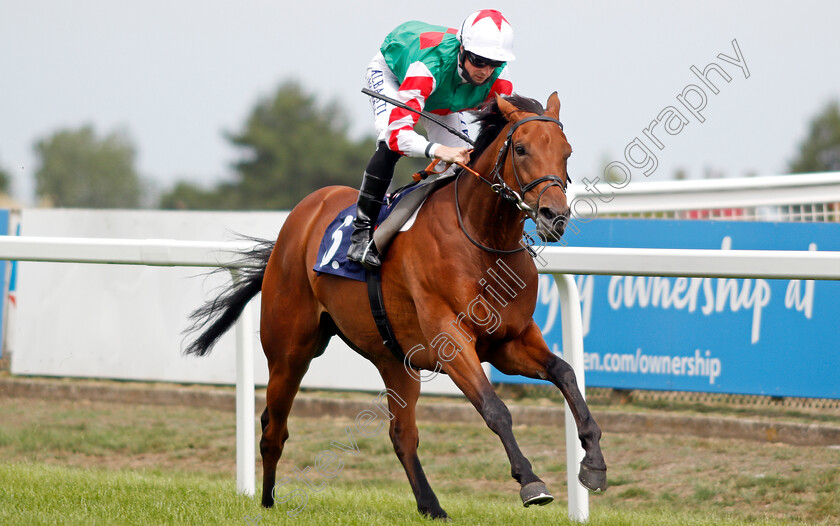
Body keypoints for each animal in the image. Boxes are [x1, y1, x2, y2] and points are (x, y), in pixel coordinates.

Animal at [185, 93, 604, 520]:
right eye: (520, 149)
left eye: (567, 152)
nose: (555, 216)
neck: (482, 240)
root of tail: (302, 215)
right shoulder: (450, 338)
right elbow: (495, 408)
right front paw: (531, 482)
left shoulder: (509, 341)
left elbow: (565, 372)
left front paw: (594, 464)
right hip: (290, 350)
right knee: (274, 429)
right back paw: (268, 501)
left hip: (395, 360)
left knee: (401, 434)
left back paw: (431, 506)